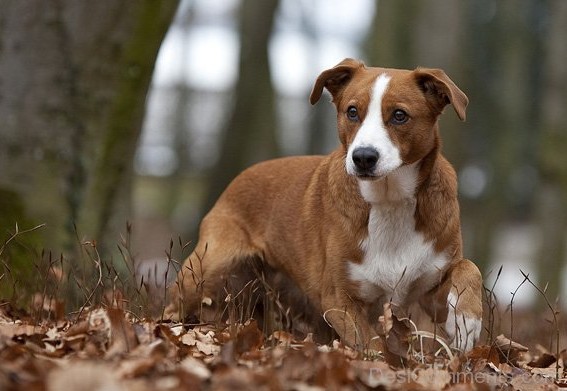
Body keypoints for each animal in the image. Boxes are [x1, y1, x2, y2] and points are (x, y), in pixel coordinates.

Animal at [168, 58, 484, 352]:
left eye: (399, 115)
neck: (388, 201)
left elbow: (469, 267)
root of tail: (238, 179)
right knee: (177, 300)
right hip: (207, 267)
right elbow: (372, 345)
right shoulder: (338, 298)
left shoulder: (428, 286)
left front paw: (467, 319)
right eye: (352, 111)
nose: (363, 157)